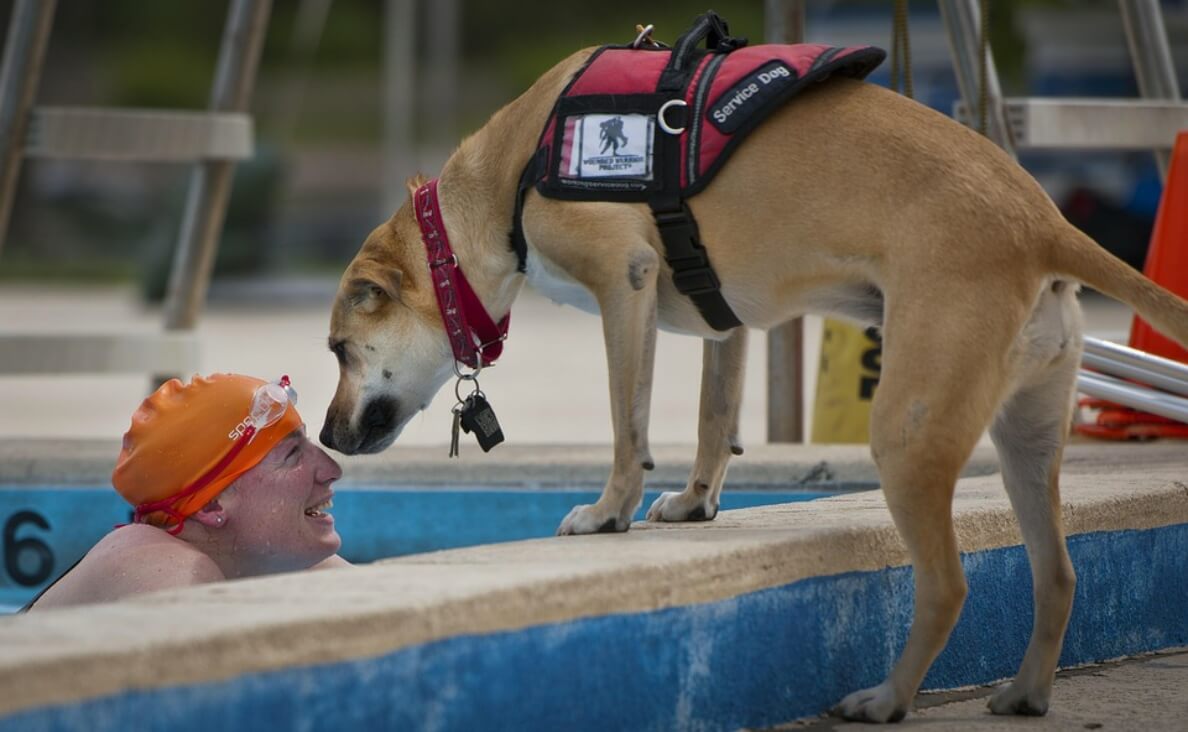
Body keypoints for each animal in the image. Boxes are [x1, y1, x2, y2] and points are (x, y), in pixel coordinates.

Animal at [323, 48, 1188, 722]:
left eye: (336, 349)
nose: (326, 437)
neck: (512, 173)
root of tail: (1044, 221)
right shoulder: (724, 319)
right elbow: (714, 419)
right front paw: (695, 503)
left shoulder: (625, 284)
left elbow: (629, 425)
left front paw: (609, 513)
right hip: (1026, 441)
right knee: (1060, 574)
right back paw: (1025, 693)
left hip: (908, 433)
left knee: (946, 585)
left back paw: (887, 699)